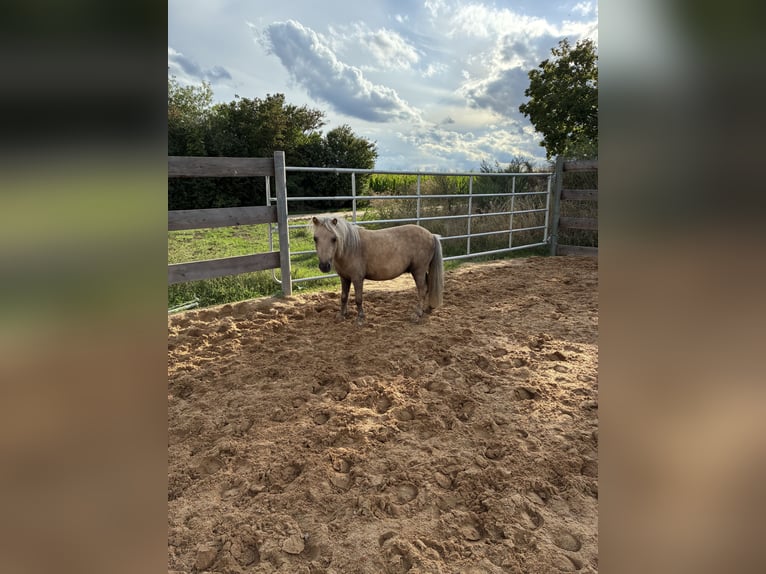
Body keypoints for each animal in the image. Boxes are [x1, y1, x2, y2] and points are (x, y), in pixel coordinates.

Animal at [311, 216, 444, 324]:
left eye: (334, 238)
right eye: (315, 238)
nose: (324, 266)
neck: (350, 248)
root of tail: (431, 235)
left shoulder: (357, 278)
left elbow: (358, 299)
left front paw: (360, 318)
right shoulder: (344, 278)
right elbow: (343, 297)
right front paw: (341, 315)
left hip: (418, 271)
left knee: (422, 289)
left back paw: (417, 314)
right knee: (428, 286)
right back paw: (428, 309)